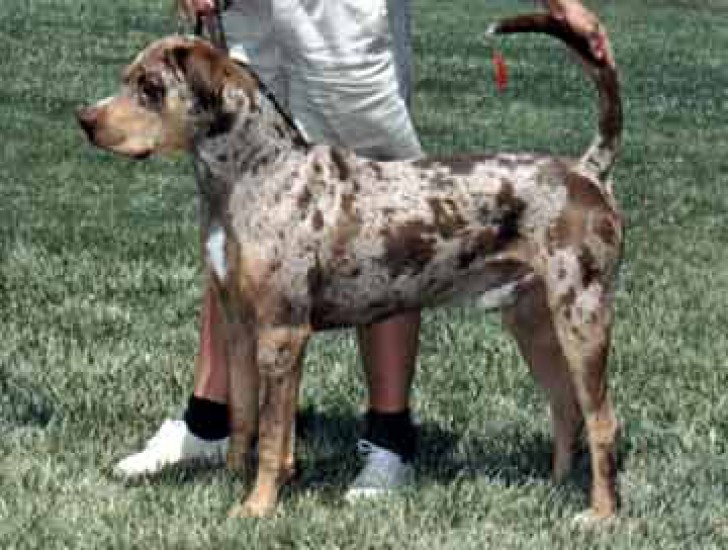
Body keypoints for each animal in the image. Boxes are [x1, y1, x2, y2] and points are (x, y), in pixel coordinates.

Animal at [77, 12, 623, 520]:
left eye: (150, 87)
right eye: (127, 78)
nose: (85, 119)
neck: (254, 173)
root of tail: (586, 170)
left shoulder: (281, 333)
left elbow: (272, 435)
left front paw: (255, 507)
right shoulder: (239, 325)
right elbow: (244, 419)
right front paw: (230, 482)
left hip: (582, 316)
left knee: (602, 420)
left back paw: (599, 514)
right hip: (532, 321)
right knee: (565, 409)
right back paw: (554, 487)